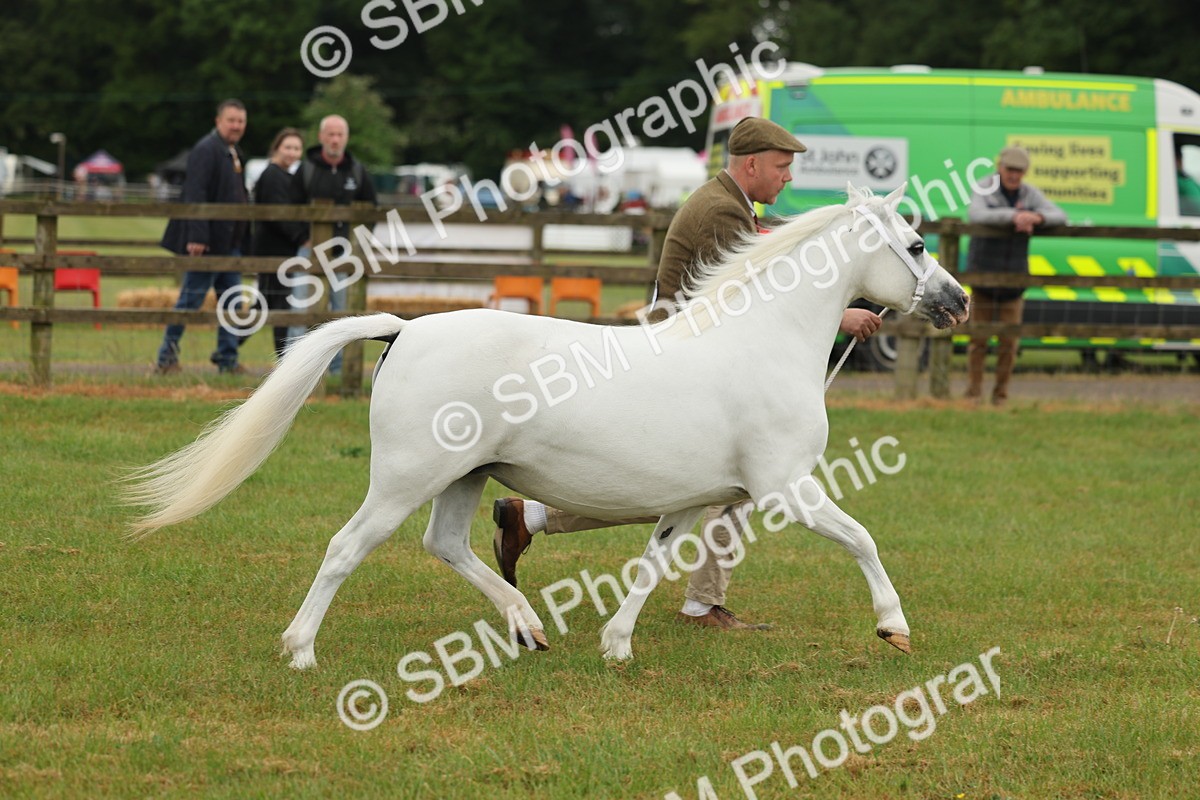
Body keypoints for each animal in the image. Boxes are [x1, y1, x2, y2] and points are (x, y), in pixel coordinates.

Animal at [125, 183, 970, 669]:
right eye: (917, 244)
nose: (957, 301)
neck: (760, 342)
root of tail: (405, 328)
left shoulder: (692, 501)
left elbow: (650, 565)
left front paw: (616, 645)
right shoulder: (788, 488)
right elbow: (862, 539)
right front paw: (893, 628)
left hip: (464, 478)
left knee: (449, 545)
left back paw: (528, 626)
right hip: (407, 477)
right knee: (345, 548)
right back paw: (301, 650)